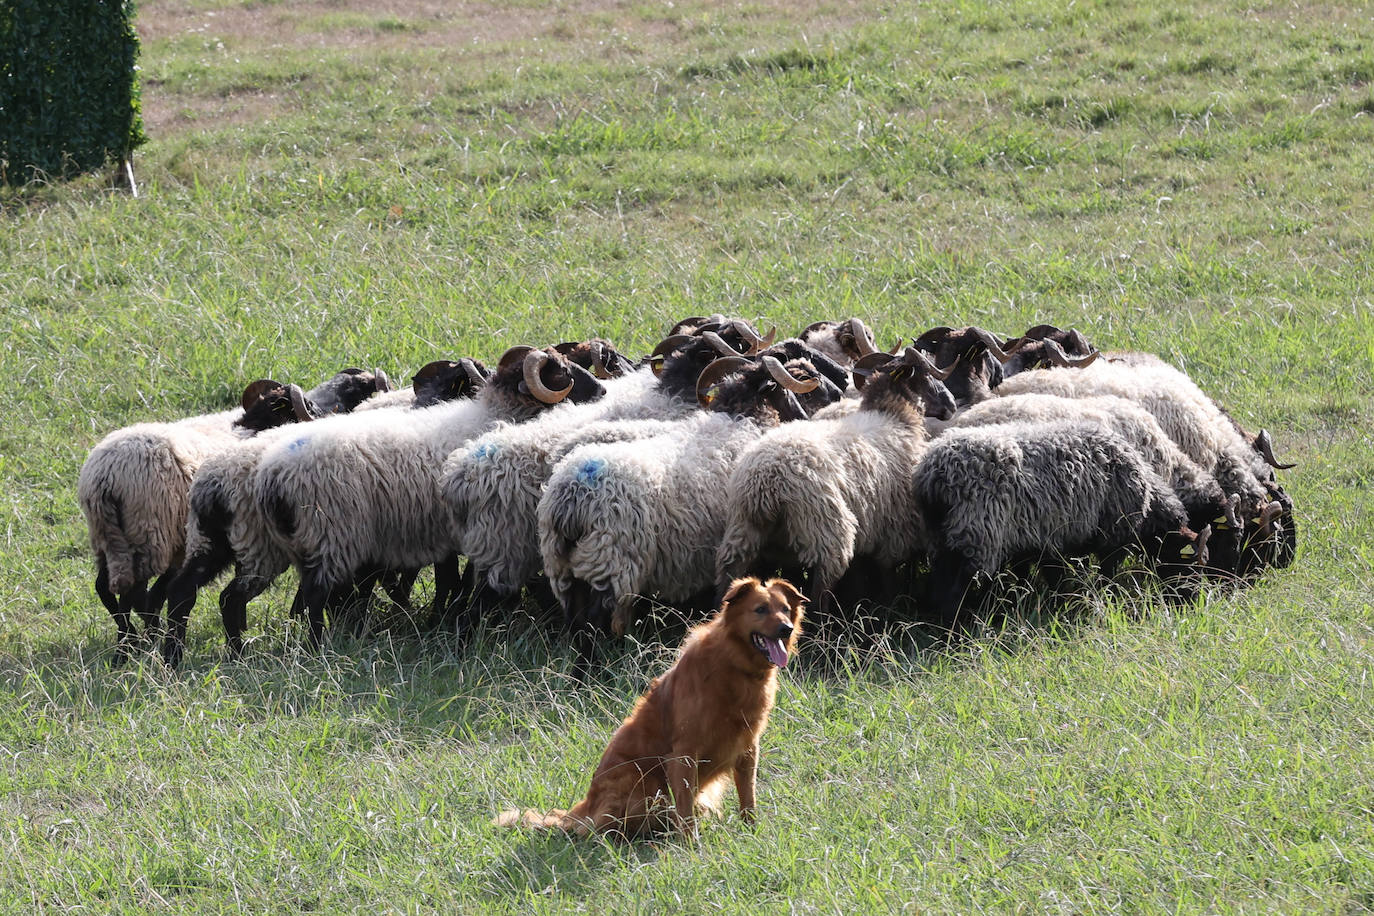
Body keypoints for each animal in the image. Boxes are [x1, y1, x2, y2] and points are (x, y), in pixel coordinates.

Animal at [252, 347, 607, 648]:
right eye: (561, 371)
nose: (602, 392)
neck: (497, 411)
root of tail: (274, 474)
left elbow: (453, 581)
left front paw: (443, 618)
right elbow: (458, 582)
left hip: (308, 541)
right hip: (331, 532)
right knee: (317, 594)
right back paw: (319, 645)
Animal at [494, 576, 802, 840]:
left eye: (785, 609)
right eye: (760, 609)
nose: (786, 628)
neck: (734, 665)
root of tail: (584, 810)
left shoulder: (748, 749)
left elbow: (748, 797)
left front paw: (751, 832)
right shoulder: (684, 754)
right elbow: (685, 810)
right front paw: (691, 846)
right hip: (646, 786)